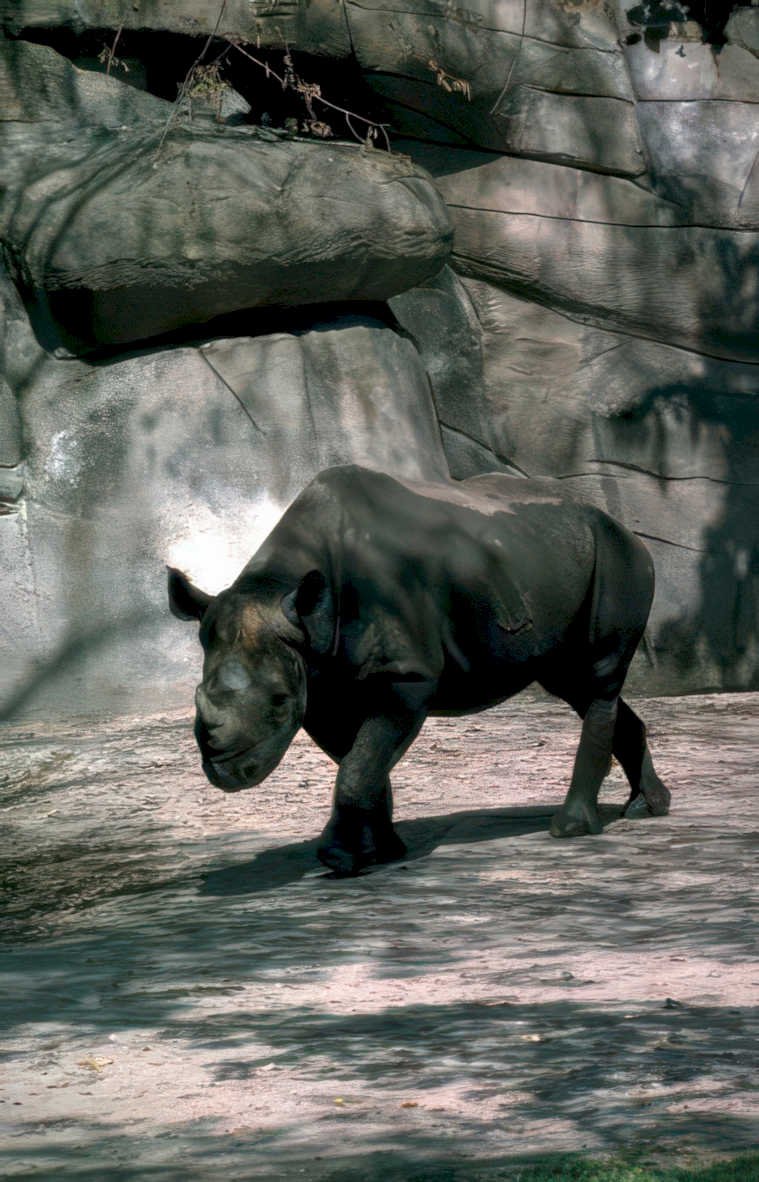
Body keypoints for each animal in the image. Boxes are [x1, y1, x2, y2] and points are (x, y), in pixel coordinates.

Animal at [168, 465, 670, 875]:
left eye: (277, 703)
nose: (225, 771)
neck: (284, 594)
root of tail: (624, 526)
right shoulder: (321, 682)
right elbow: (362, 762)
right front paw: (381, 852)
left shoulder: (406, 676)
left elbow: (361, 762)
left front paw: (339, 860)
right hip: (548, 560)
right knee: (573, 681)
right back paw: (648, 808)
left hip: (618, 558)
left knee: (597, 675)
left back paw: (570, 828)